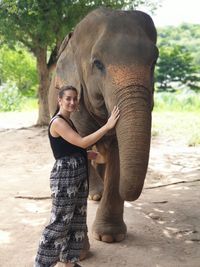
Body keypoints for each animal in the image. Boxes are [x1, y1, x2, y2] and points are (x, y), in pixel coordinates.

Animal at [48, 6, 158, 245]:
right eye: (98, 64)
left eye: (154, 62)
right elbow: (81, 141)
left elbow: (116, 153)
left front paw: (110, 236)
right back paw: (95, 194)